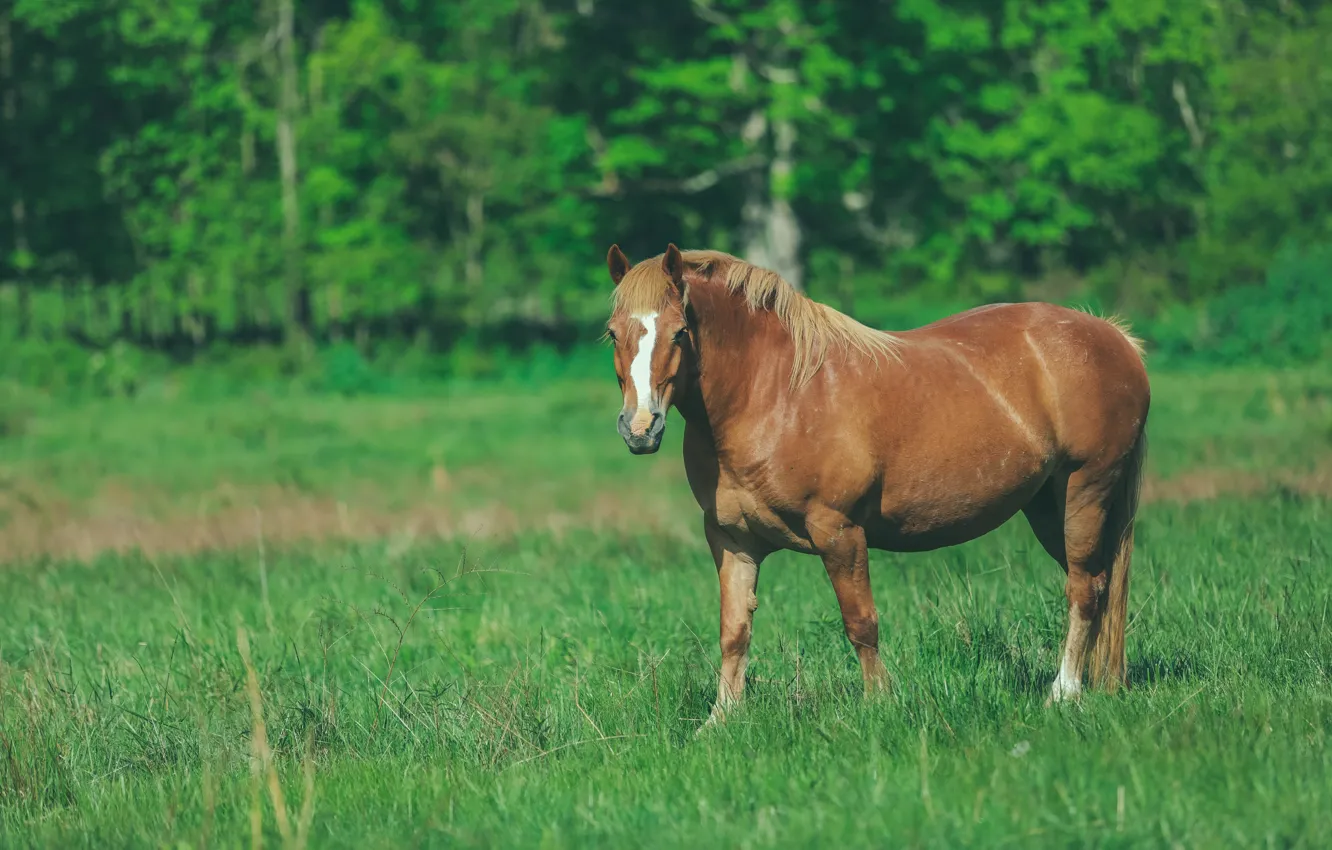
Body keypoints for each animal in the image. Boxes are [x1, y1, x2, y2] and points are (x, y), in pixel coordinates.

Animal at [603, 243, 1150, 723]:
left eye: (679, 333)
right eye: (612, 334)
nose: (640, 428)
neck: (775, 393)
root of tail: (1114, 337)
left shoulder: (839, 532)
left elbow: (861, 623)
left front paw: (879, 705)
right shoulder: (732, 540)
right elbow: (734, 630)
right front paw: (721, 720)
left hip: (1085, 490)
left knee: (1084, 588)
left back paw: (1064, 692)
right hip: (1046, 507)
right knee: (1099, 584)